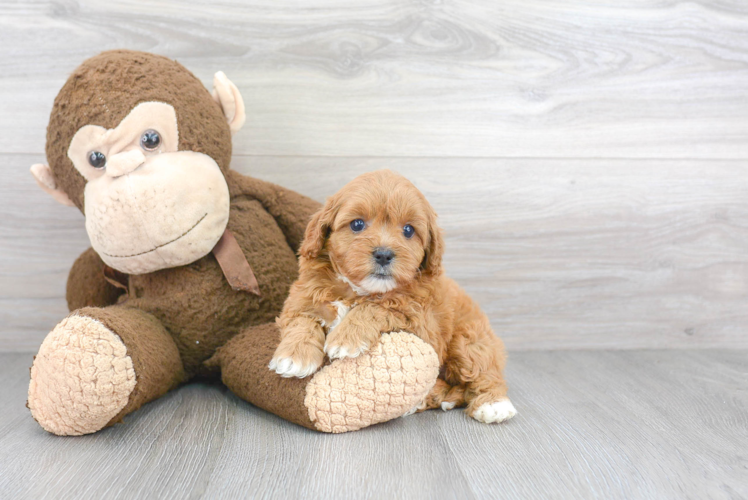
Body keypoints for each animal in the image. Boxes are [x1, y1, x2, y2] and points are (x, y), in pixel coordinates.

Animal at [272, 170, 516, 424]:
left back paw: (493, 404)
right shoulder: (302, 299)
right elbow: (302, 321)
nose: (383, 254)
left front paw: (345, 338)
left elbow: (379, 307)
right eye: (357, 224)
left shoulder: (420, 321)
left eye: (408, 230)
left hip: (468, 340)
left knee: (483, 372)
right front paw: (293, 356)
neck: (358, 290)